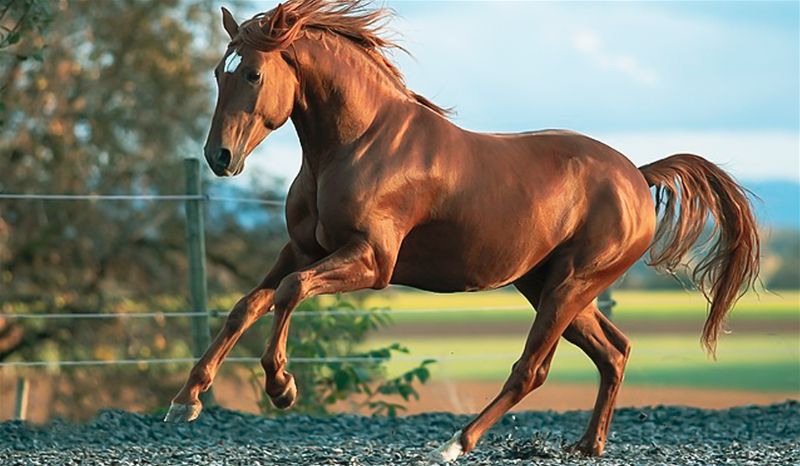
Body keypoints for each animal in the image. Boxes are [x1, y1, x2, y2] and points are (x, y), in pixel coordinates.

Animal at [166, 0, 760, 458]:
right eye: (218, 72)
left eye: (253, 73)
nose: (219, 157)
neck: (356, 144)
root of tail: (637, 175)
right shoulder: (300, 249)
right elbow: (247, 303)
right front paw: (186, 400)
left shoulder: (371, 261)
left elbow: (289, 293)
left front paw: (282, 387)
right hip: (548, 285)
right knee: (613, 351)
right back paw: (588, 446)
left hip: (569, 286)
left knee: (532, 369)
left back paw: (454, 443)